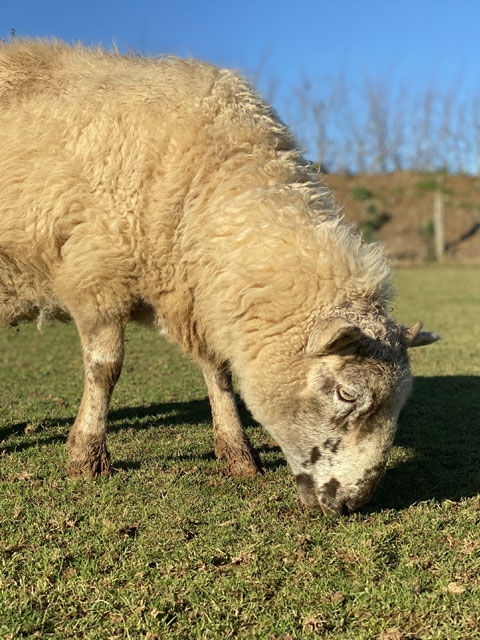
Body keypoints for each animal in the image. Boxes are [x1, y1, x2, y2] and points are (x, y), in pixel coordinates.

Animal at [0, 40, 438, 516]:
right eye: (346, 394)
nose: (353, 503)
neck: (207, 188)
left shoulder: (203, 297)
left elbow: (219, 372)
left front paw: (237, 453)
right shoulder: (98, 276)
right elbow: (105, 369)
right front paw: (87, 455)